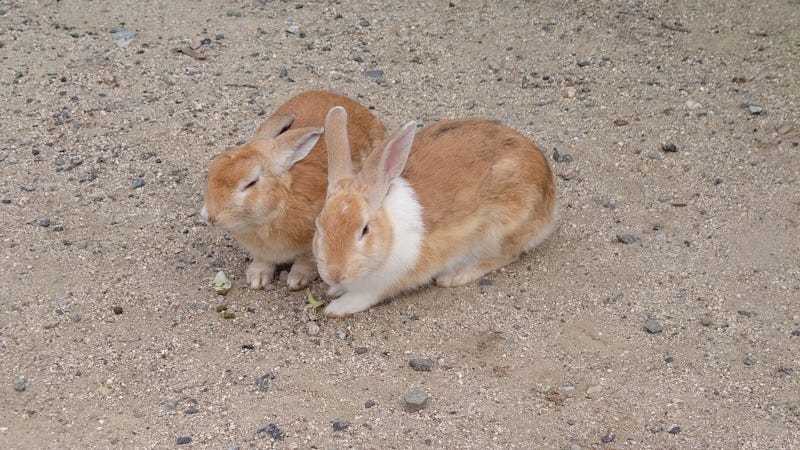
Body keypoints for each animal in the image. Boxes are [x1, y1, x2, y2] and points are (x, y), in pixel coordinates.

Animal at [202, 89, 386, 290]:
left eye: (251, 182)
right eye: (212, 169)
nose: (209, 216)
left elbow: (306, 259)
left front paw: (296, 280)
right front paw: (257, 278)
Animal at [312, 106, 556, 316]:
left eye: (364, 230)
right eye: (319, 226)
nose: (335, 273)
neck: (389, 232)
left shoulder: (389, 280)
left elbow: (364, 296)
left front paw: (336, 308)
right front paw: (335, 290)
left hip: (500, 228)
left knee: (509, 254)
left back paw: (455, 276)